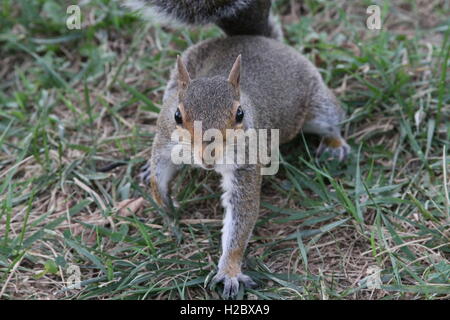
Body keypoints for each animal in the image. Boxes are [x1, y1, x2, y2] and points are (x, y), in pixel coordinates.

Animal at [124, 0, 352, 300]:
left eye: (240, 114)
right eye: (177, 115)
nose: (208, 156)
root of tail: (260, 40)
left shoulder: (247, 162)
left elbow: (240, 214)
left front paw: (229, 270)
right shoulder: (164, 139)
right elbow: (160, 171)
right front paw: (165, 204)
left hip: (318, 105)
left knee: (331, 122)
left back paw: (334, 146)